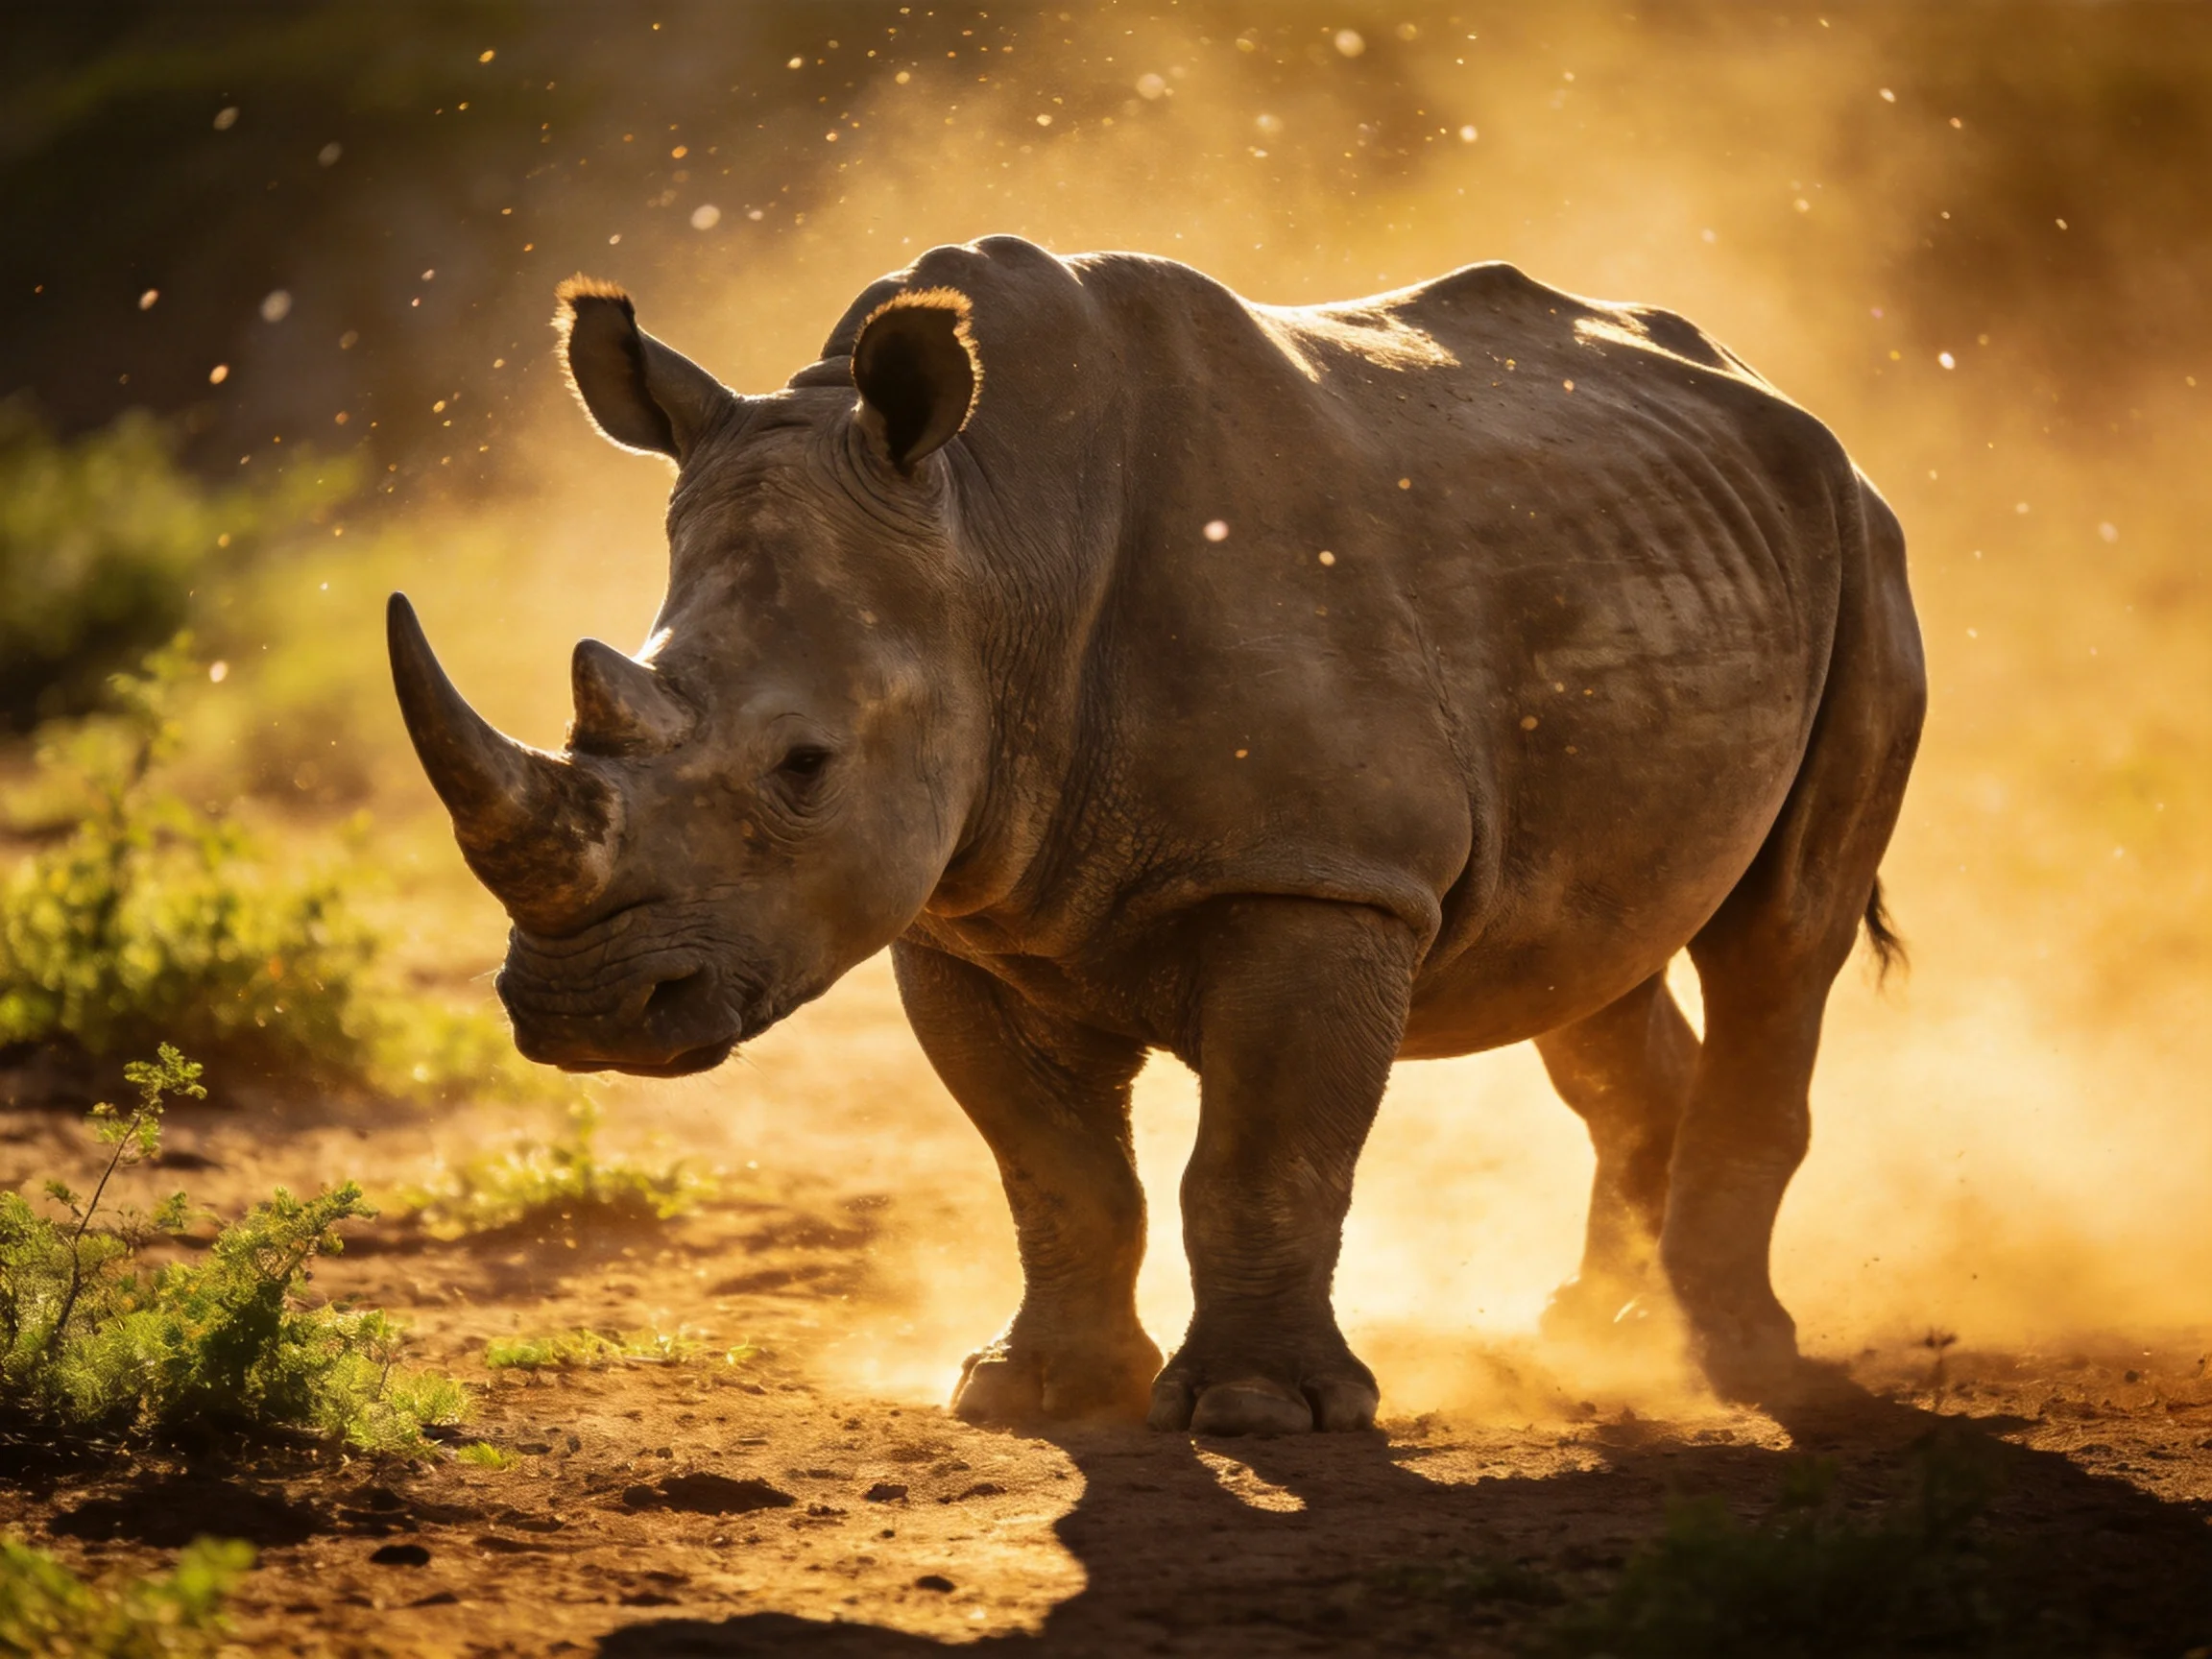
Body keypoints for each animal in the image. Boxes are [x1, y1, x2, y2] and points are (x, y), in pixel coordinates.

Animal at [388, 236, 1924, 1434]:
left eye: (805, 768)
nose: (584, 1011)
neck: (991, 538)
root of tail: (1783, 399)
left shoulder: (1320, 878)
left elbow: (1260, 1163)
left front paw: (1259, 1414)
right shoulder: (962, 910)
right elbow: (1055, 1170)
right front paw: (1032, 1393)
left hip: (1864, 546)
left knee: (1781, 934)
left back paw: (1729, 1360)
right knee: (1591, 963)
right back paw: (1602, 1332)